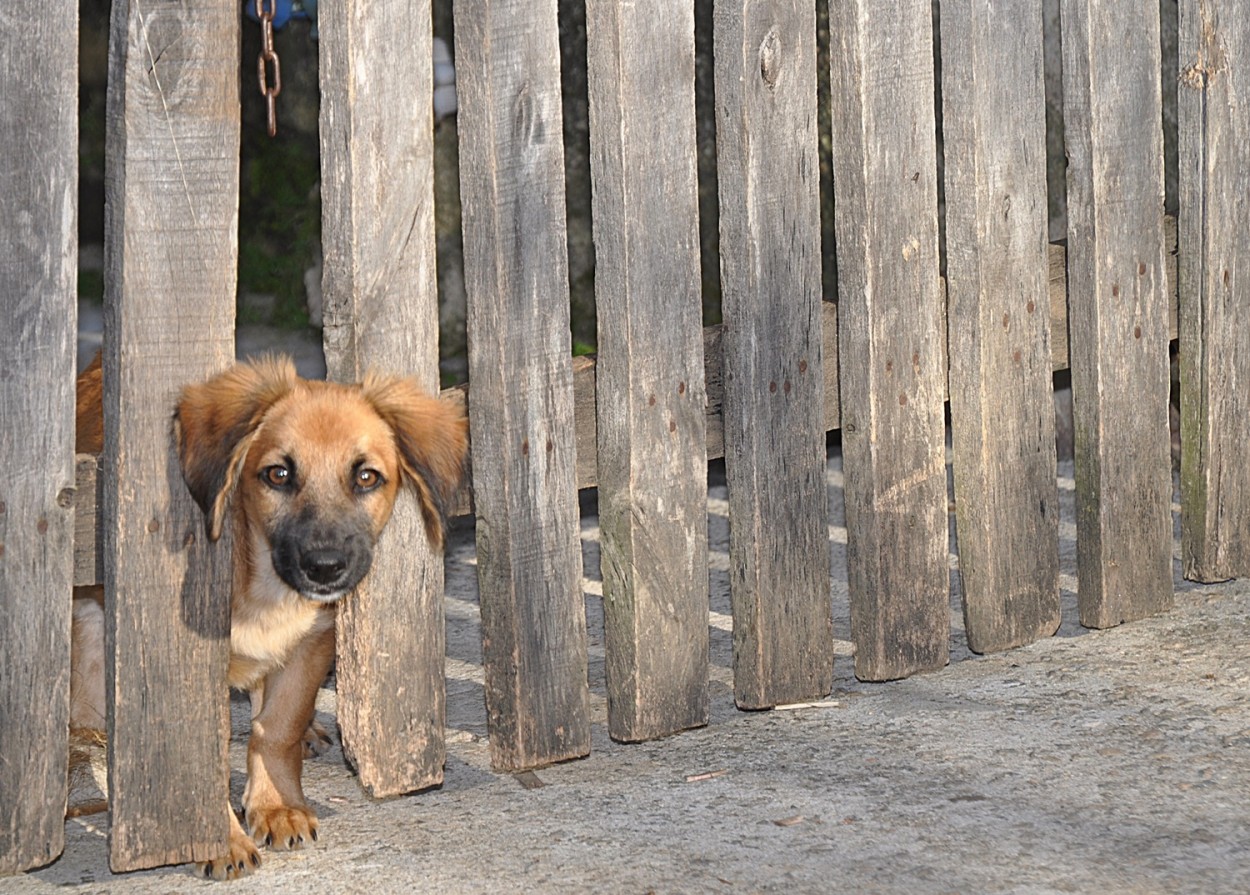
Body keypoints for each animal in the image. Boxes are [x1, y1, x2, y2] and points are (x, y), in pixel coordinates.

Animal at [70, 352, 470, 880]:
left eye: (366, 477)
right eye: (277, 475)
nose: (325, 567)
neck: (263, 586)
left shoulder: (314, 641)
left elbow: (276, 727)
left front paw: (276, 805)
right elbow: (206, 758)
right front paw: (220, 840)